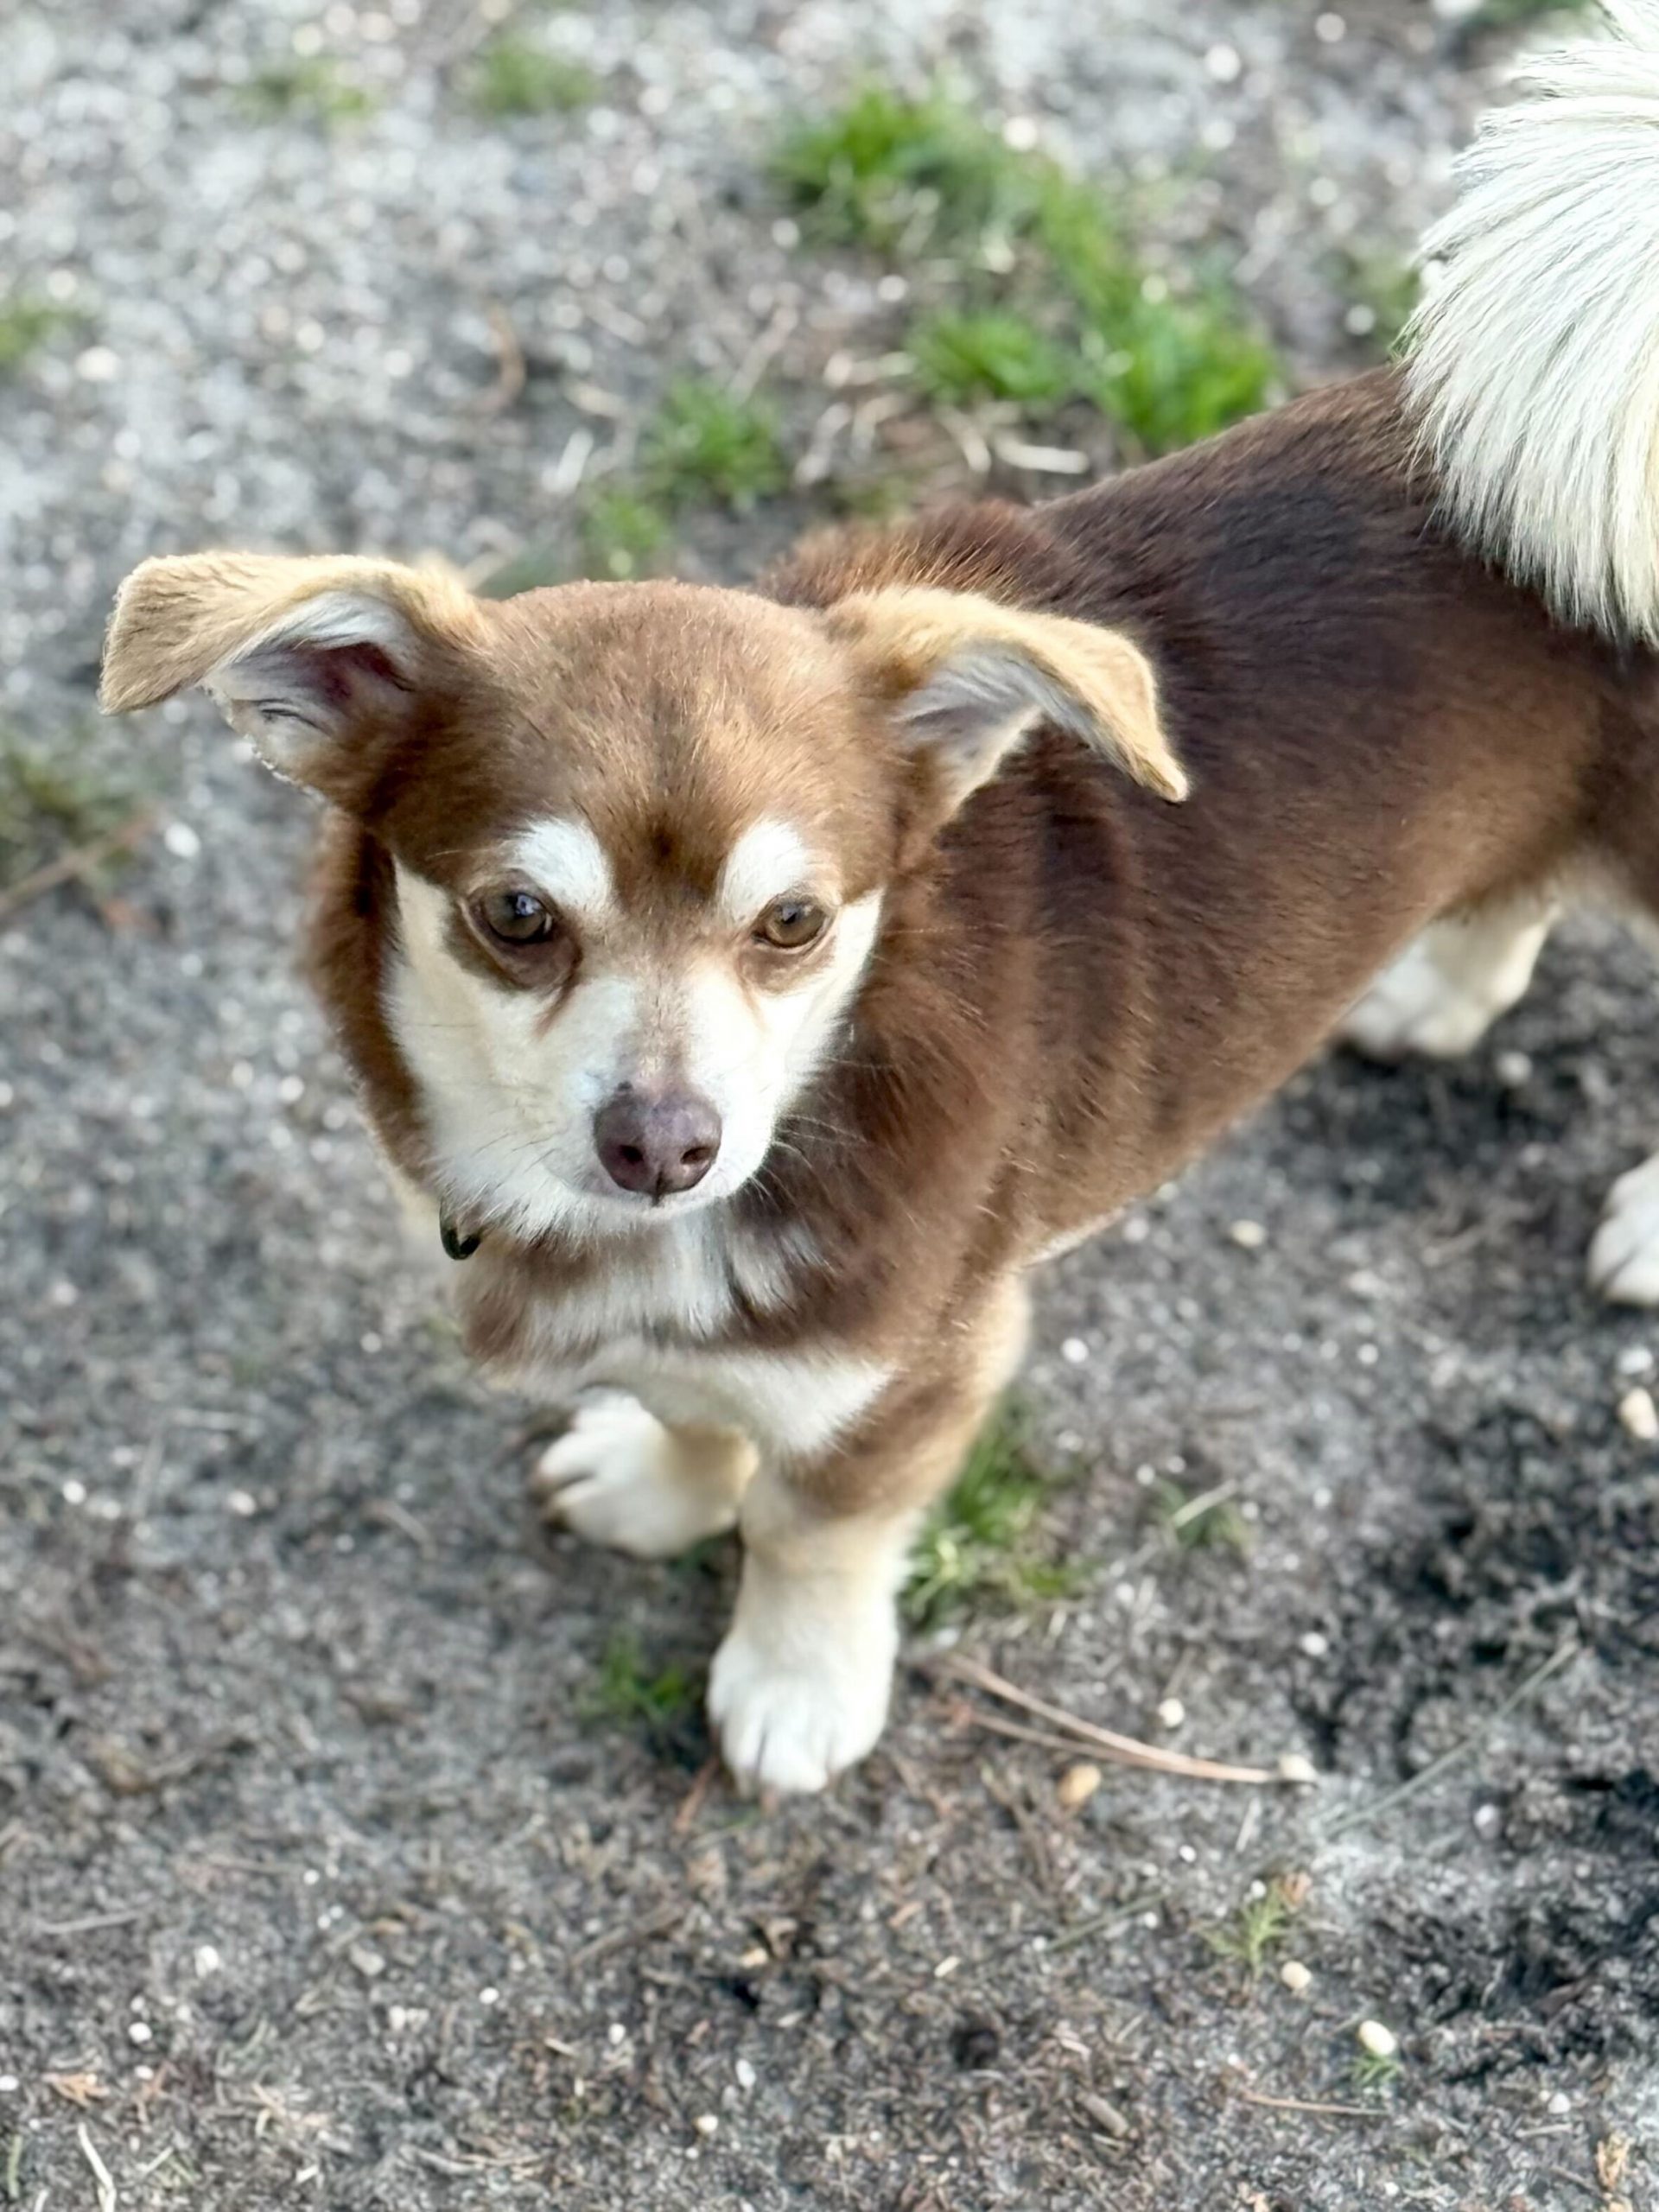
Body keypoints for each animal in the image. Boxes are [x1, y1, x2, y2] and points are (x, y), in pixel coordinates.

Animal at [100, 4, 1659, 1794]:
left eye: (795, 924)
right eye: (516, 917)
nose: (665, 1147)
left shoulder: (914, 1363)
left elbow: (810, 1524)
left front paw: (794, 1689)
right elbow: (700, 1405)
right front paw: (659, 1486)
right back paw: (1439, 994)